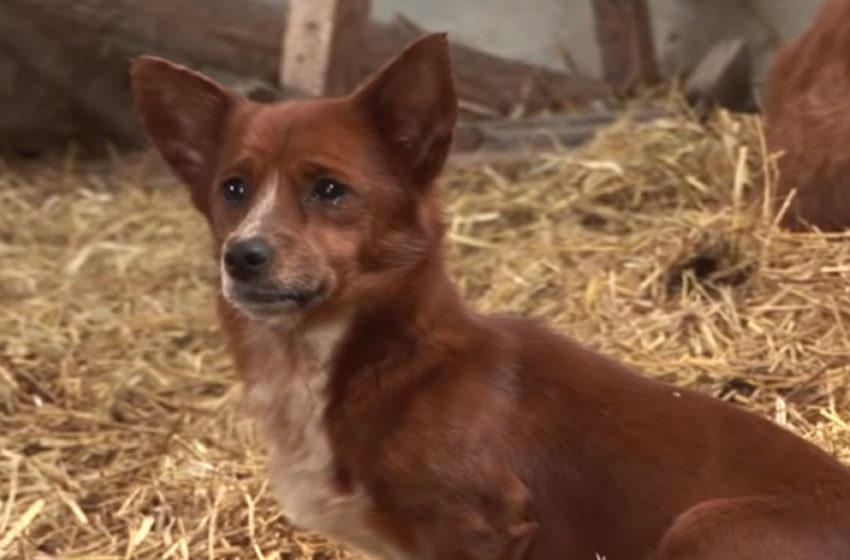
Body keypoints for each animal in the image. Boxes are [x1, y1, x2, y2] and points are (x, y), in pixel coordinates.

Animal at [129, 34, 848, 560]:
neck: (378, 359)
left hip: (702, 526)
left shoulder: (483, 527)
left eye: (329, 189)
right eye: (233, 189)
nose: (242, 257)